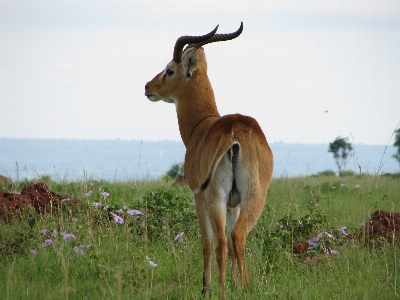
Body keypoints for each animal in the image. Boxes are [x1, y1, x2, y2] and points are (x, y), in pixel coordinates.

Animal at [145, 22, 276, 296]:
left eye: (169, 70)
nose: (147, 87)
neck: (202, 126)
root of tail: (236, 136)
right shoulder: (233, 204)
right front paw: (235, 285)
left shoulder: (199, 196)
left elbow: (205, 242)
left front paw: (206, 287)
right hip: (252, 198)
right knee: (238, 237)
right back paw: (244, 288)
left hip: (215, 198)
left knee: (223, 241)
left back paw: (222, 290)